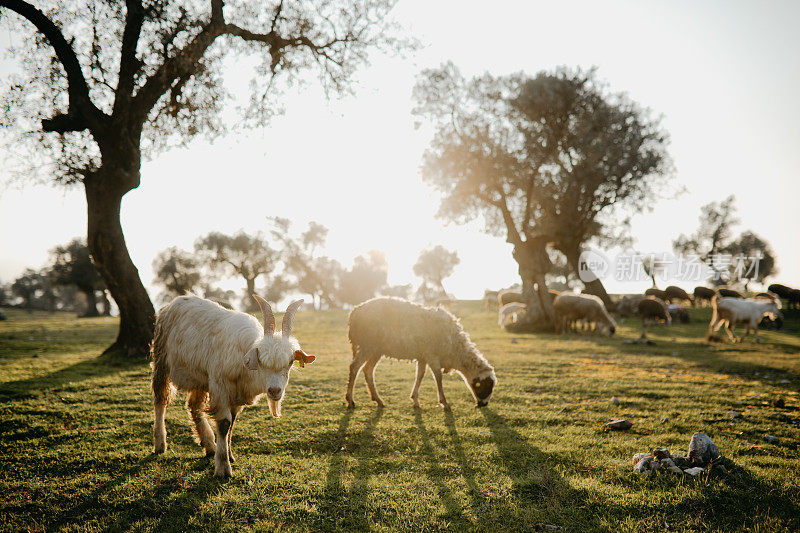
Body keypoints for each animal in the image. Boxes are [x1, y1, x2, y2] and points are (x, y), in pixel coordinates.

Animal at [150, 296, 316, 478]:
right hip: (161, 360)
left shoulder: (236, 395)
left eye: (291, 362)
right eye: (261, 360)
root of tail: (173, 303)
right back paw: (160, 444)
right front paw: (223, 468)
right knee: (160, 400)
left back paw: (209, 445)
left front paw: (229, 455)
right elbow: (224, 423)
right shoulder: (220, 385)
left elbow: (232, 423)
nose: (274, 391)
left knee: (194, 406)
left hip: (201, 377)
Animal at [346, 298, 496, 410]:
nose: (484, 404)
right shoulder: (432, 355)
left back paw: (378, 400)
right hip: (368, 345)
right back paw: (350, 400)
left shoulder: (423, 356)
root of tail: (355, 311)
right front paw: (444, 403)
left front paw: (415, 400)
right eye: (487, 386)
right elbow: (438, 377)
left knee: (367, 370)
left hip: (376, 349)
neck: (455, 350)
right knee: (354, 367)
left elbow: (420, 375)